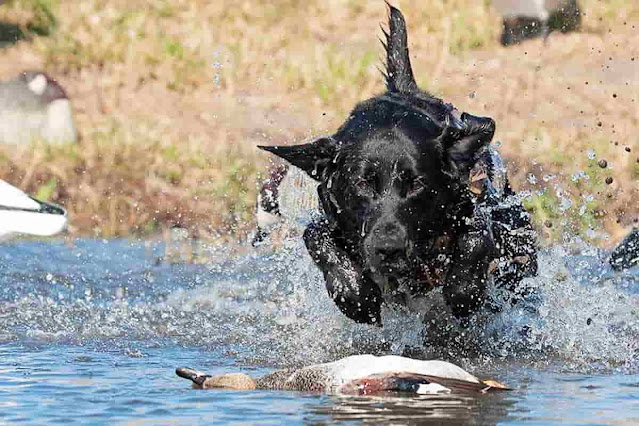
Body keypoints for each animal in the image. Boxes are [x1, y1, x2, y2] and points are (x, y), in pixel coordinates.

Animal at [258, 5, 536, 326]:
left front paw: (464, 291)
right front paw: (356, 296)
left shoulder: (478, 206)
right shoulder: (330, 217)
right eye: (362, 183)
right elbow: (315, 235)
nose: (388, 249)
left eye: (417, 184)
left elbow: (478, 234)